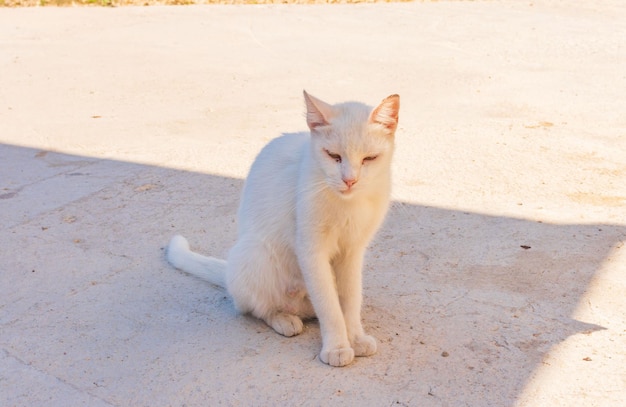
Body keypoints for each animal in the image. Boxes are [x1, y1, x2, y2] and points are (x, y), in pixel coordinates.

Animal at [167, 91, 400, 366]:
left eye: (369, 159)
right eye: (333, 156)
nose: (350, 180)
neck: (348, 204)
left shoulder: (353, 251)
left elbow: (350, 300)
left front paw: (355, 337)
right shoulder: (311, 250)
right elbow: (329, 306)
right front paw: (337, 346)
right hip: (253, 254)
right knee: (255, 308)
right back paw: (283, 319)